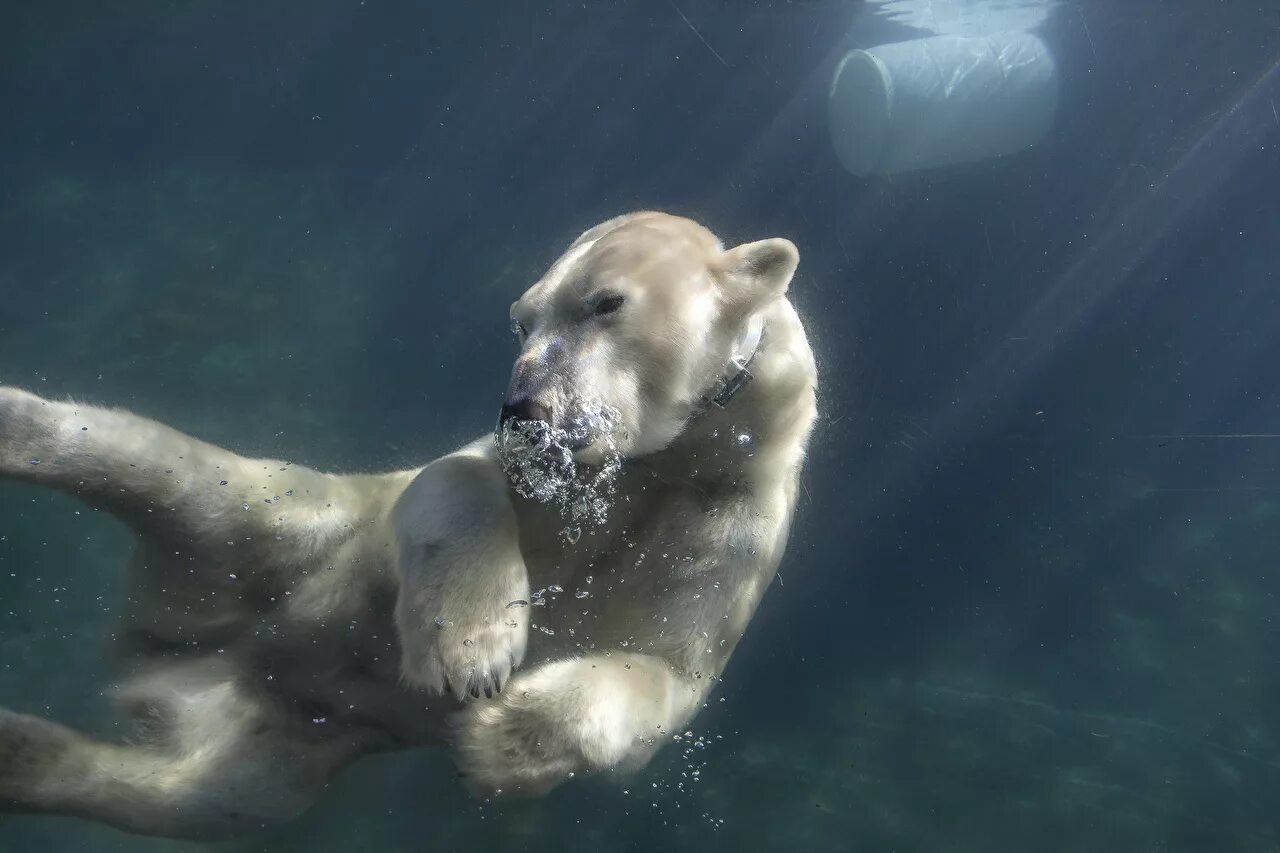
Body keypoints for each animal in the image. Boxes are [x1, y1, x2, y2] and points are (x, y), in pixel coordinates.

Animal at [0, 210, 818, 840]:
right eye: (522, 319)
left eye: (606, 302)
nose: (523, 408)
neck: (662, 470)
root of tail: (168, 653)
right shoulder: (510, 479)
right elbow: (451, 479)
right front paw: (474, 653)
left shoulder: (725, 535)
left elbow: (659, 678)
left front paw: (499, 740)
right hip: (293, 518)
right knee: (159, 465)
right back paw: (19, 424)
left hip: (289, 744)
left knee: (195, 797)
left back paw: (25, 749)